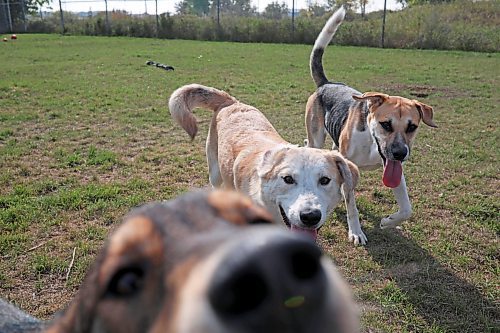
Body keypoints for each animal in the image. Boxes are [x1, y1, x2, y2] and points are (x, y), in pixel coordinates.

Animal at [302, 7, 436, 231]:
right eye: (386, 124)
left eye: (412, 127)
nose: (400, 153)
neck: (372, 144)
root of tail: (326, 83)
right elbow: (352, 208)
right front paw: (356, 232)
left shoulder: (394, 169)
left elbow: (406, 208)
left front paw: (389, 222)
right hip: (316, 136)